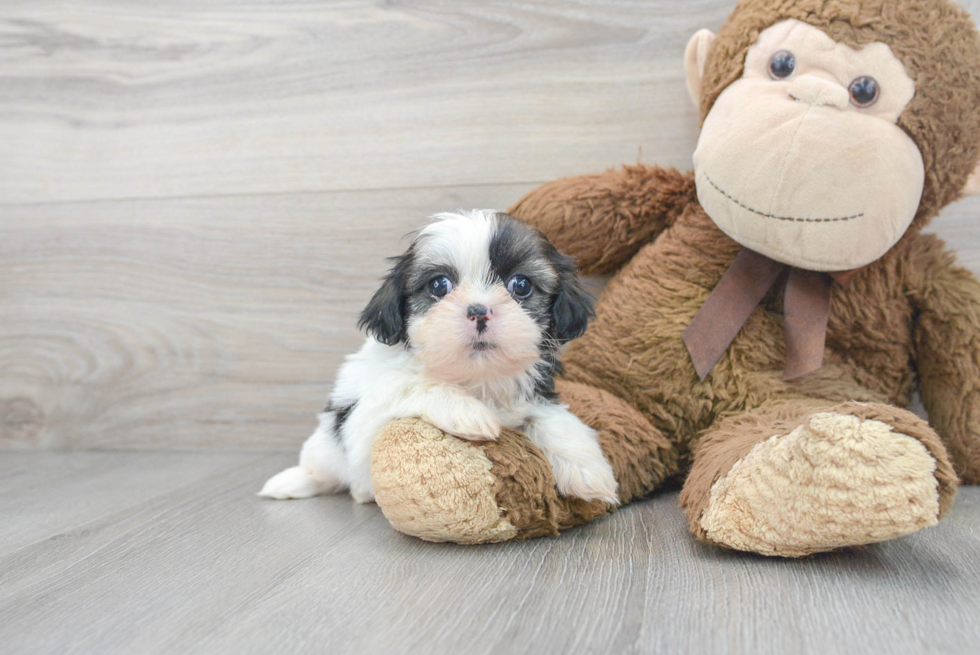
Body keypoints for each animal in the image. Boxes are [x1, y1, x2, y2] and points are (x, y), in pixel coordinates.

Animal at [256, 210, 616, 508]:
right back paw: (296, 483)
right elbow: (411, 385)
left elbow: (553, 418)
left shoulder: (536, 393)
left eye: (521, 285)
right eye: (439, 285)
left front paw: (588, 470)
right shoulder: (365, 419)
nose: (479, 310)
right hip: (325, 444)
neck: (474, 376)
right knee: (322, 469)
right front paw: (467, 411)